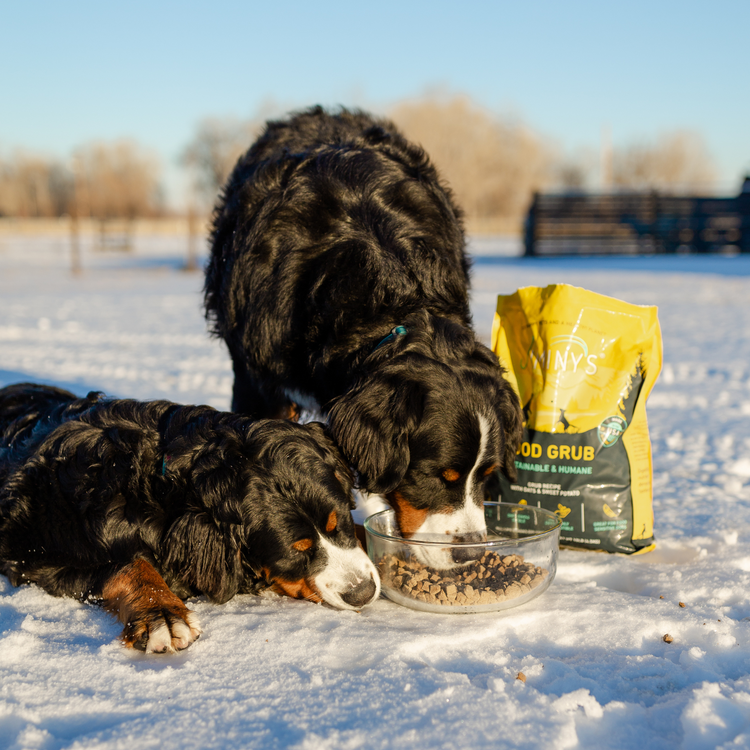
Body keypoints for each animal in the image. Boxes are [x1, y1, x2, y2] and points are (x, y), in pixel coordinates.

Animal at [0, 384, 378, 656]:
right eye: (296, 553)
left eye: (340, 523)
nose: (364, 592)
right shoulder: (38, 560)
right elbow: (127, 565)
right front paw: (162, 613)